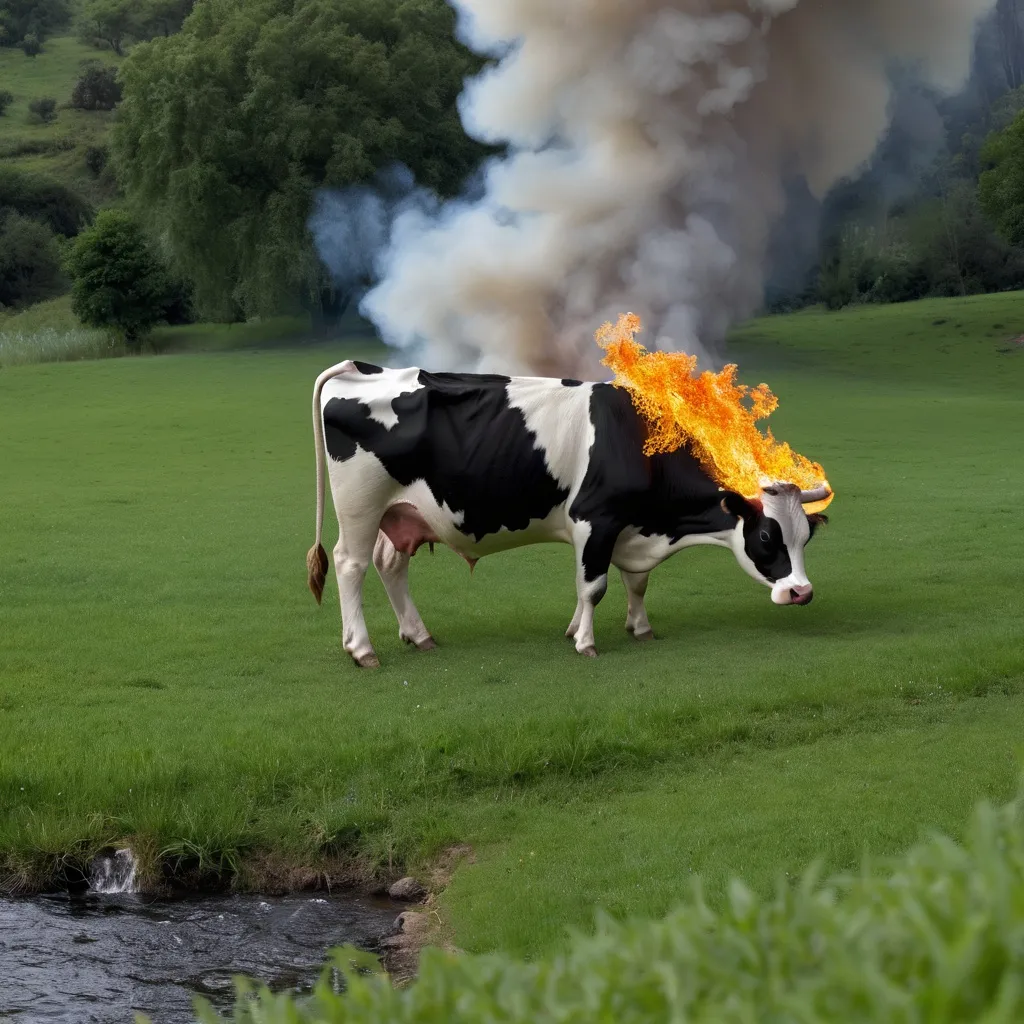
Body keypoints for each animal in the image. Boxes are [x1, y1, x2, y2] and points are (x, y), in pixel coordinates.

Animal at [305, 356, 831, 667]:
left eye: (806, 536)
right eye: (766, 537)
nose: (802, 592)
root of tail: (363, 368)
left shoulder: (630, 528)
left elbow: (634, 582)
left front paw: (635, 628)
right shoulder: (594, 520)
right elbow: (594, 585)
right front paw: (587, 643)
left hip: (400, 513)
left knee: (389, 564)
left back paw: (419, 635)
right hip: (360, 506)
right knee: (351, 566)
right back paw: (362, 649)